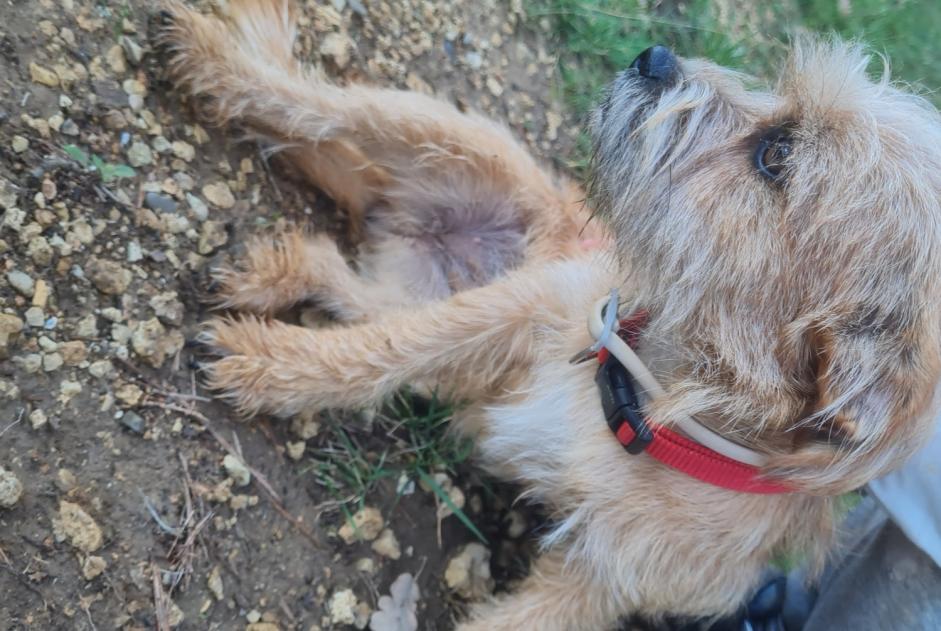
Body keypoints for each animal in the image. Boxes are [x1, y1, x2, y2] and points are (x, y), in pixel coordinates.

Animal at [158, 2, 940, 628]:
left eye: (775, 154)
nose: (655, 57)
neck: (652, 396)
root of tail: (403, 217)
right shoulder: (521, 307)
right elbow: (384, 351)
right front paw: (271, 367)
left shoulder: (590, 587)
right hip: (443, 133)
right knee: (318, 104)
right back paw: (222, 53)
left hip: (400, 283)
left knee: (341, 262)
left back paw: (277, 269)